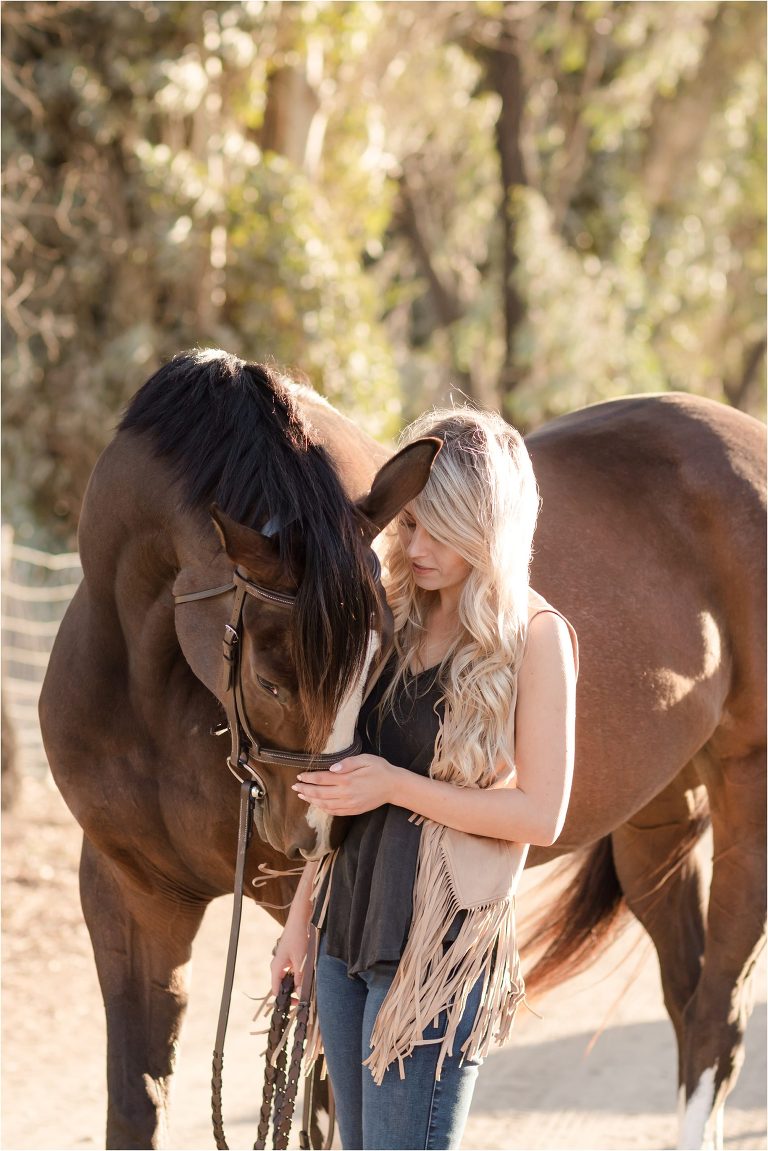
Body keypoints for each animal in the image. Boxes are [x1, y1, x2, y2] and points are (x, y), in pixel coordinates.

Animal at [40, 354, 765, 1150]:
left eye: (382, 657)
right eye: (268, 677)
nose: (322, 835)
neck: (147, 690)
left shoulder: (307, 920)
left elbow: (320, 1108)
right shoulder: (129, 895)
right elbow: (136, 1102)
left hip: (746, 801)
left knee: (718, 1020)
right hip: (657, 823)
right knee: (687, 996)